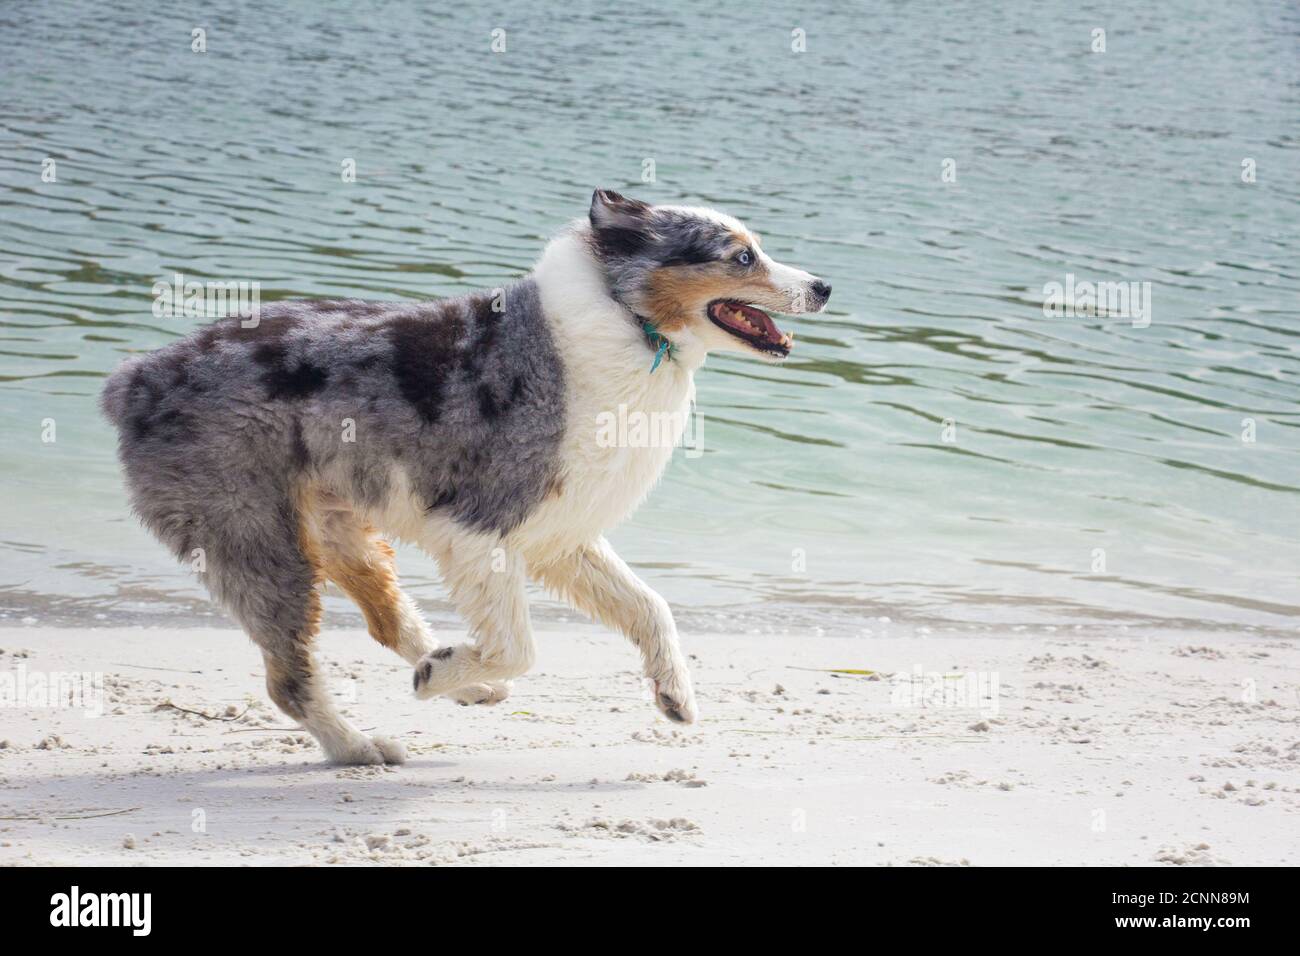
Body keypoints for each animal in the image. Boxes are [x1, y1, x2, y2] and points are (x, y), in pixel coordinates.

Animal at [101, 191, 832, 764]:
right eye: (742, 256)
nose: (825, 286)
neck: (628, 319)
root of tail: (134, 380)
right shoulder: (481, 529)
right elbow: (520, 646)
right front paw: (439, 679)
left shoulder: (560, 536)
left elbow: (650, 606)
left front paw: (673, 693)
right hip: (262, 545)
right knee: (290, 678)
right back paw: (361, 746)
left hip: (342, 532)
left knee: (387, 620)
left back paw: (458, 680)